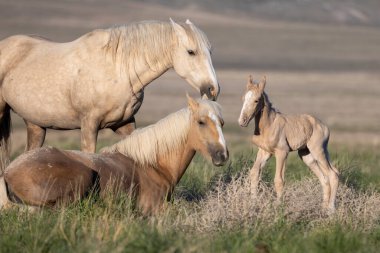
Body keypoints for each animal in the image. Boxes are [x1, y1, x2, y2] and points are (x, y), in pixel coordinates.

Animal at [0, 96, 229, 214]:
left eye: (222, 122)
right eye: (201, 122)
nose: (222, 156)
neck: (153, 165)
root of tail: (8, 173)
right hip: (83, 176)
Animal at [239, 75, 340, 213]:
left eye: (256, 100)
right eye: (243, 98)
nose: (242, 121)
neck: (268, 125)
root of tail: (324, 126)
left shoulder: (282, 152)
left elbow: (279, 180)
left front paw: (278, 207)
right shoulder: (265, 152)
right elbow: (254, 173)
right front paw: (253, 204)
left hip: (318, 150)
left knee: (333, 174)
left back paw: (330, 209)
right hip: (306, 155)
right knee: (324, 178)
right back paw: (323, 208)